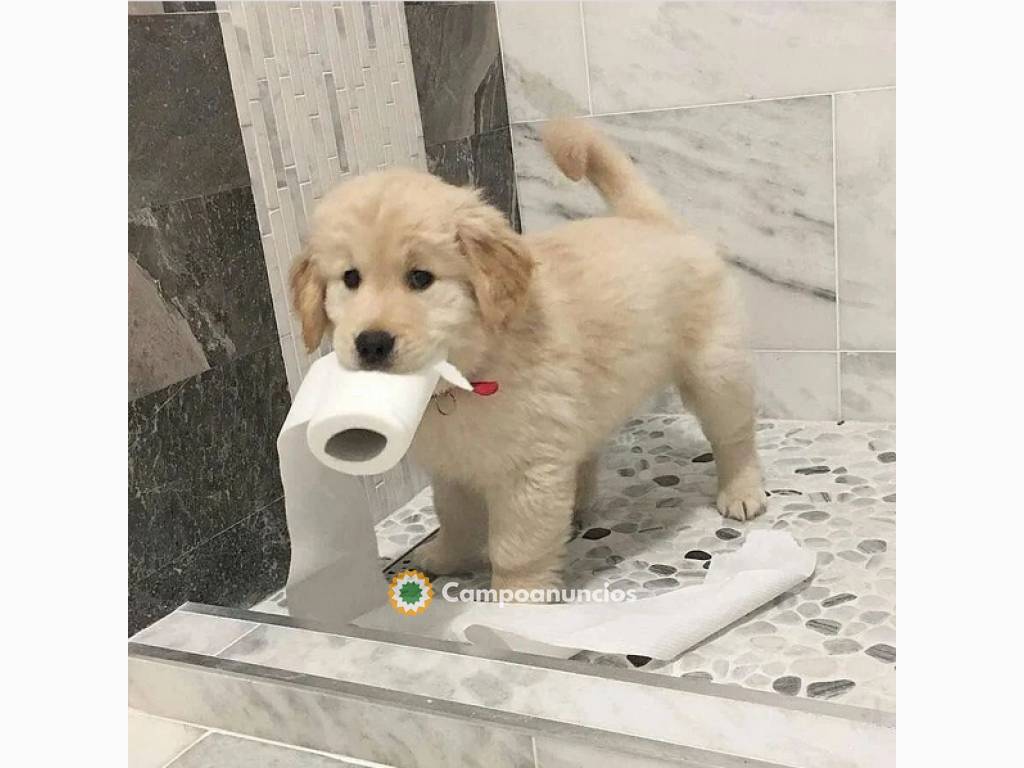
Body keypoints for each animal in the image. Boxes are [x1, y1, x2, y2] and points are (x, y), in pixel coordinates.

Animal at [288, 120, 761, 593]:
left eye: (420, 278)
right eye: (350, 278)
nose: (371, 343)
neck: (469, 374)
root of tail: (651, 221)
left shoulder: (527, 471)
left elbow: (517, 547)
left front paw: (517, 598)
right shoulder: (452, 467)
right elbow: (453, 517)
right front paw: (445, 556)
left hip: (715, 371)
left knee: (733, 436)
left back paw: (742, 492)